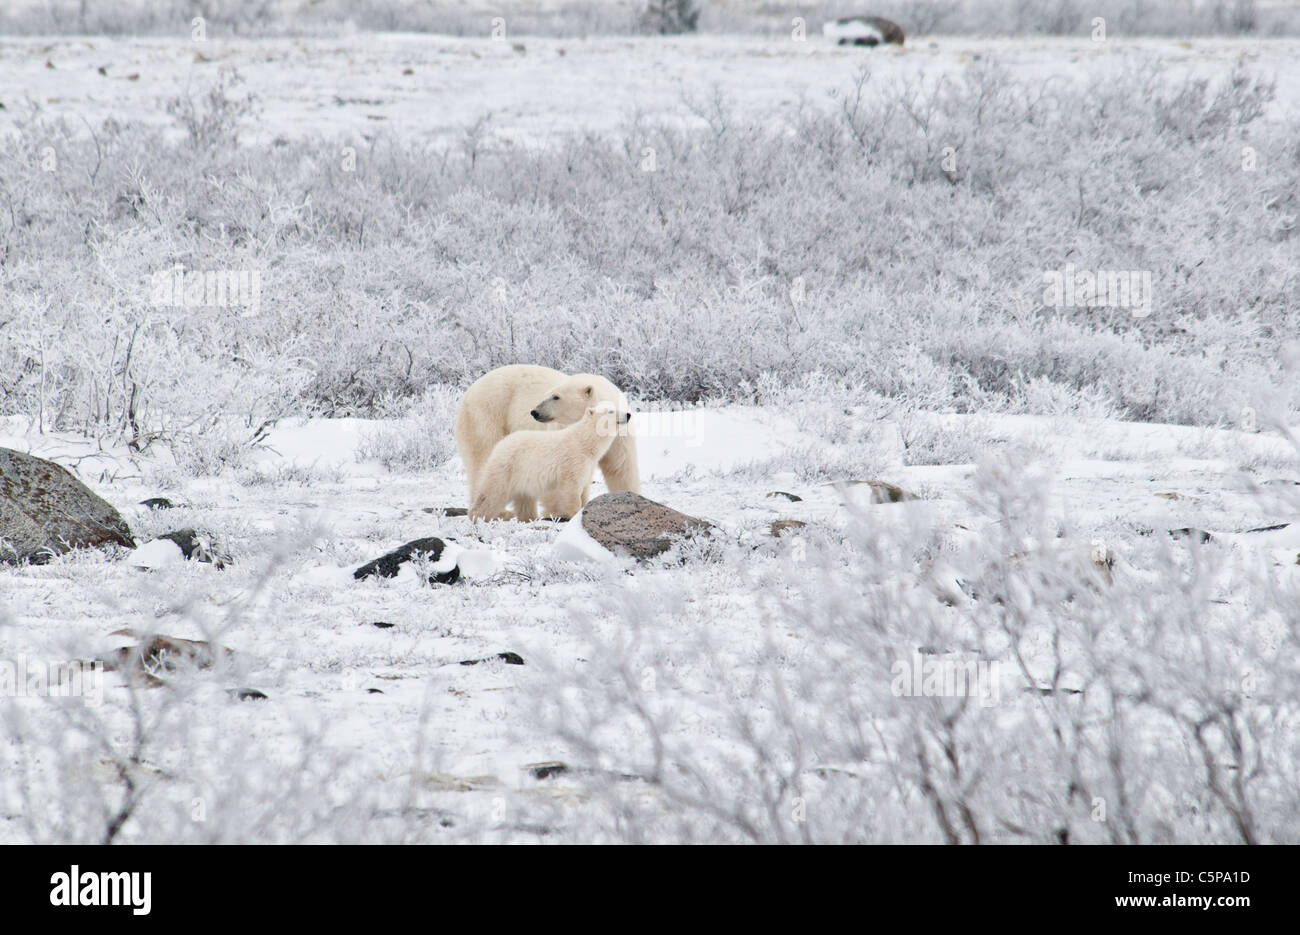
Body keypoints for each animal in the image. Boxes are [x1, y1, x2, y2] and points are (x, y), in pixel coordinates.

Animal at [454, 366, 642, 512]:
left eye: (556, 396)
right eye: (548, 394)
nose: (534, 412)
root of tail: (470, 390)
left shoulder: (620, 438)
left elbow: (620, 468)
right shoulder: (562, 431)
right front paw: (560, 511)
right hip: (487, 413)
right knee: (483, 459)